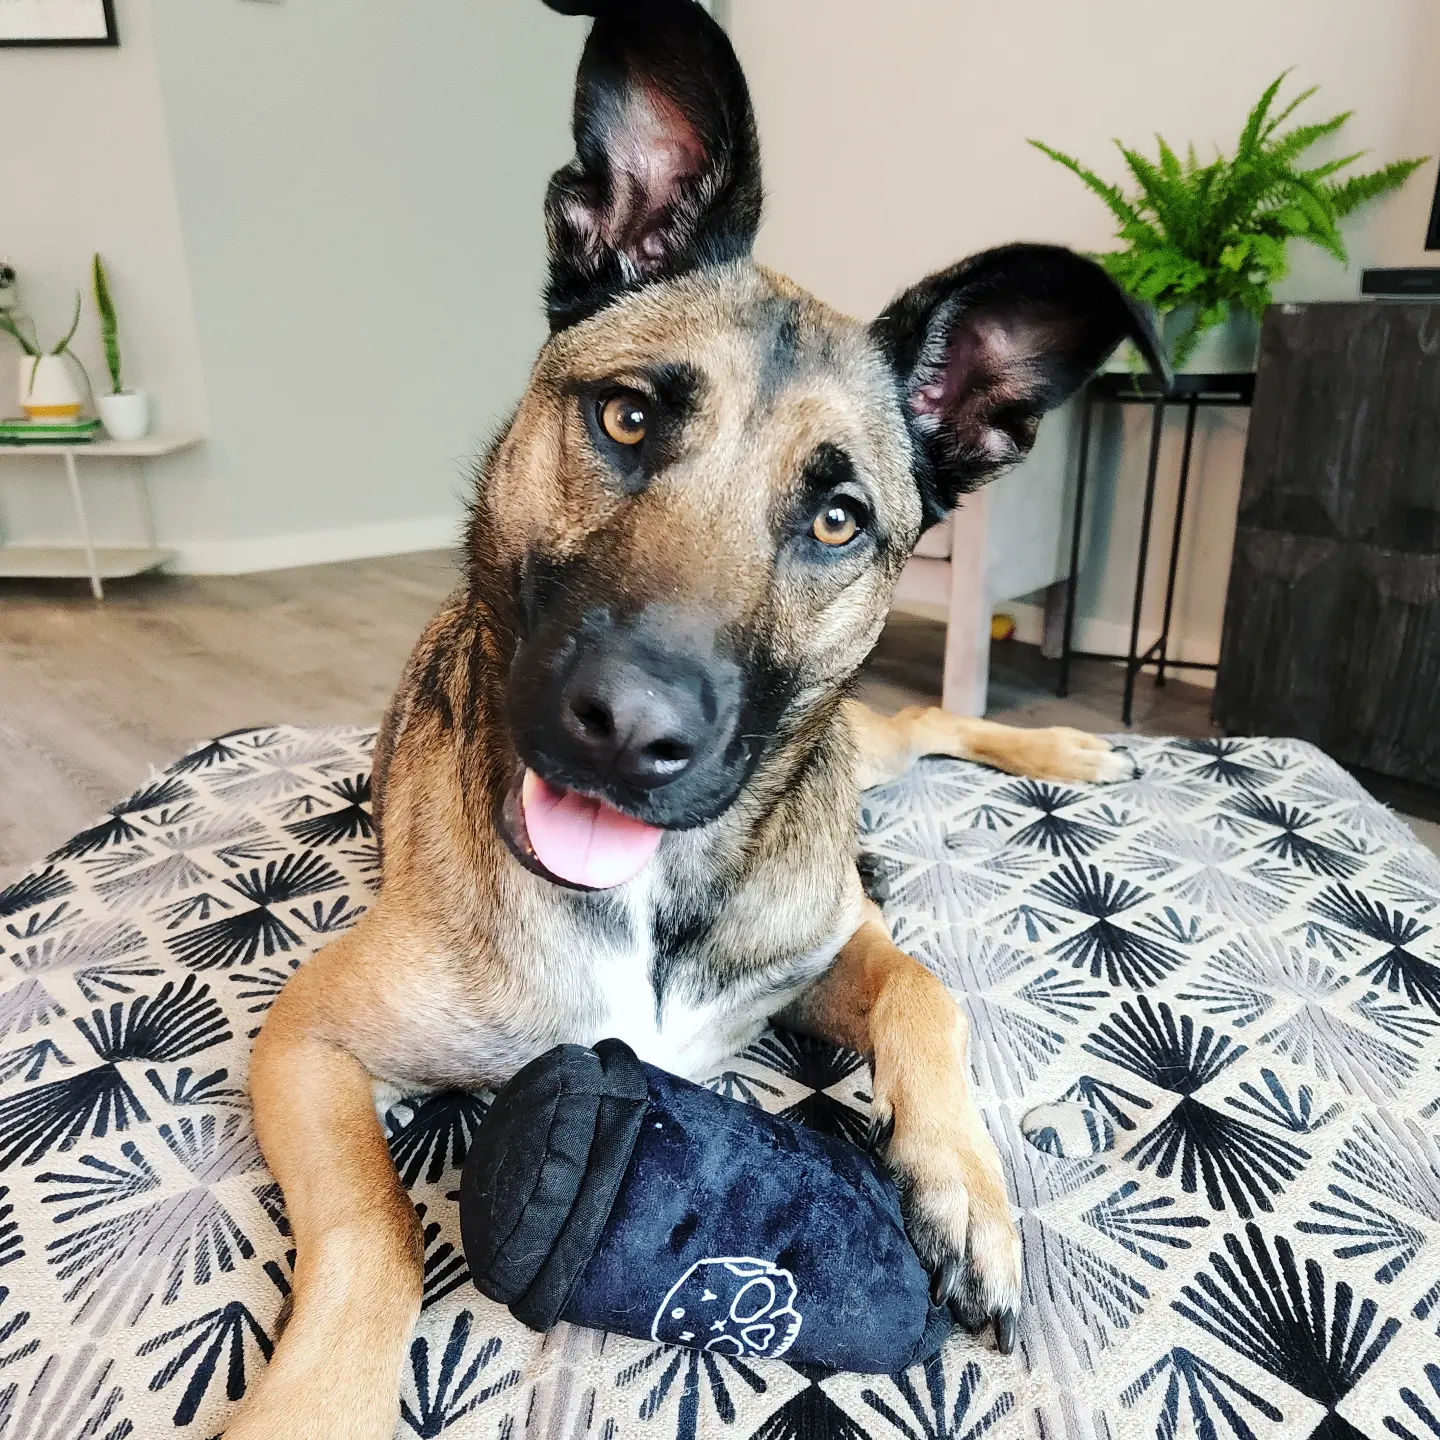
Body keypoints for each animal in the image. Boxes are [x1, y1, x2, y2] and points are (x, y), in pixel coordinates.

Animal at [233, 5, 1157, 1434]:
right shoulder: (305, 1041)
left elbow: (926, 988)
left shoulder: (831, 941)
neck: (654, 895)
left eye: (835, 520)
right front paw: (313, 1399)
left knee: (916, 724)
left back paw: (1063, 746)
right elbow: (376, 1229)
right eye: (626, 416)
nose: (624, 731)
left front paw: (968, 1195)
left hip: (854, 775)